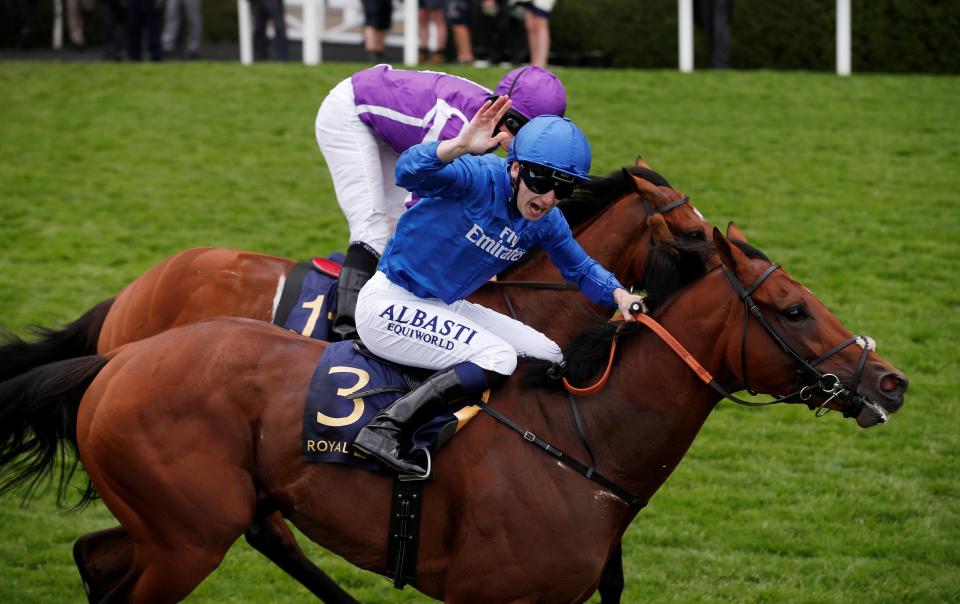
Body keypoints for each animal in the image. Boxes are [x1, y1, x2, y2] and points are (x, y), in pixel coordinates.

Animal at [0, 225, 904, 600]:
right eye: (793, 310)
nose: (891, 381)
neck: (579, 441)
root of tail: (117, 355)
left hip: (171, 528)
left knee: (96, 557)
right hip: (188, 536)